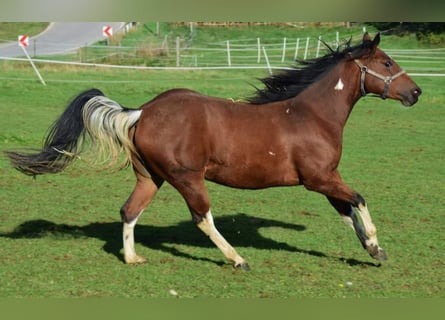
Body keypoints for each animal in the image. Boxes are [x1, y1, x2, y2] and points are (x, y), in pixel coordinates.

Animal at [4, 33, 420, 270]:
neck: (311, 115)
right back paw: (238, 259)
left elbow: (347, 211)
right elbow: (359, 200)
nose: (415, 92)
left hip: (150, 177)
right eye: (387, 63)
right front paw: (376, 245)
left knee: (129, 211)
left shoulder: (325, 179)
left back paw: (133, 258)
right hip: (188, 178)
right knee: (202, 218)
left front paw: (372, 250)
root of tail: (142, 111)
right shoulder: (319, 179)